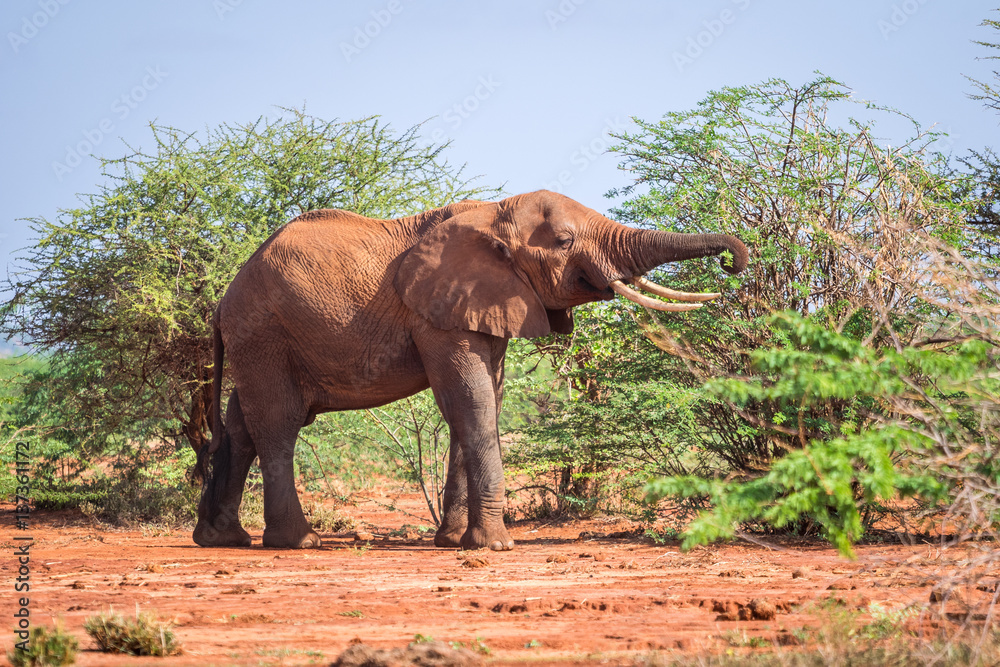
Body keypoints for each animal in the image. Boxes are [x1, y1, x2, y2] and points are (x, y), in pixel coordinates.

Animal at [193, 190, 748, 551]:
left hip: (260, 340)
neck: (493, 212)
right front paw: (495, 547)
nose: (733, 263)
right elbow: (470, 399)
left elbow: (483, 400)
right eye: (565, 240)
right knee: (278, 424)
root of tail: (221, 303)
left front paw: (456, 541)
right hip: (264, 333)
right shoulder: (434, 310)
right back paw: (299, 542)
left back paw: (222, 539)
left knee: (241, 425)